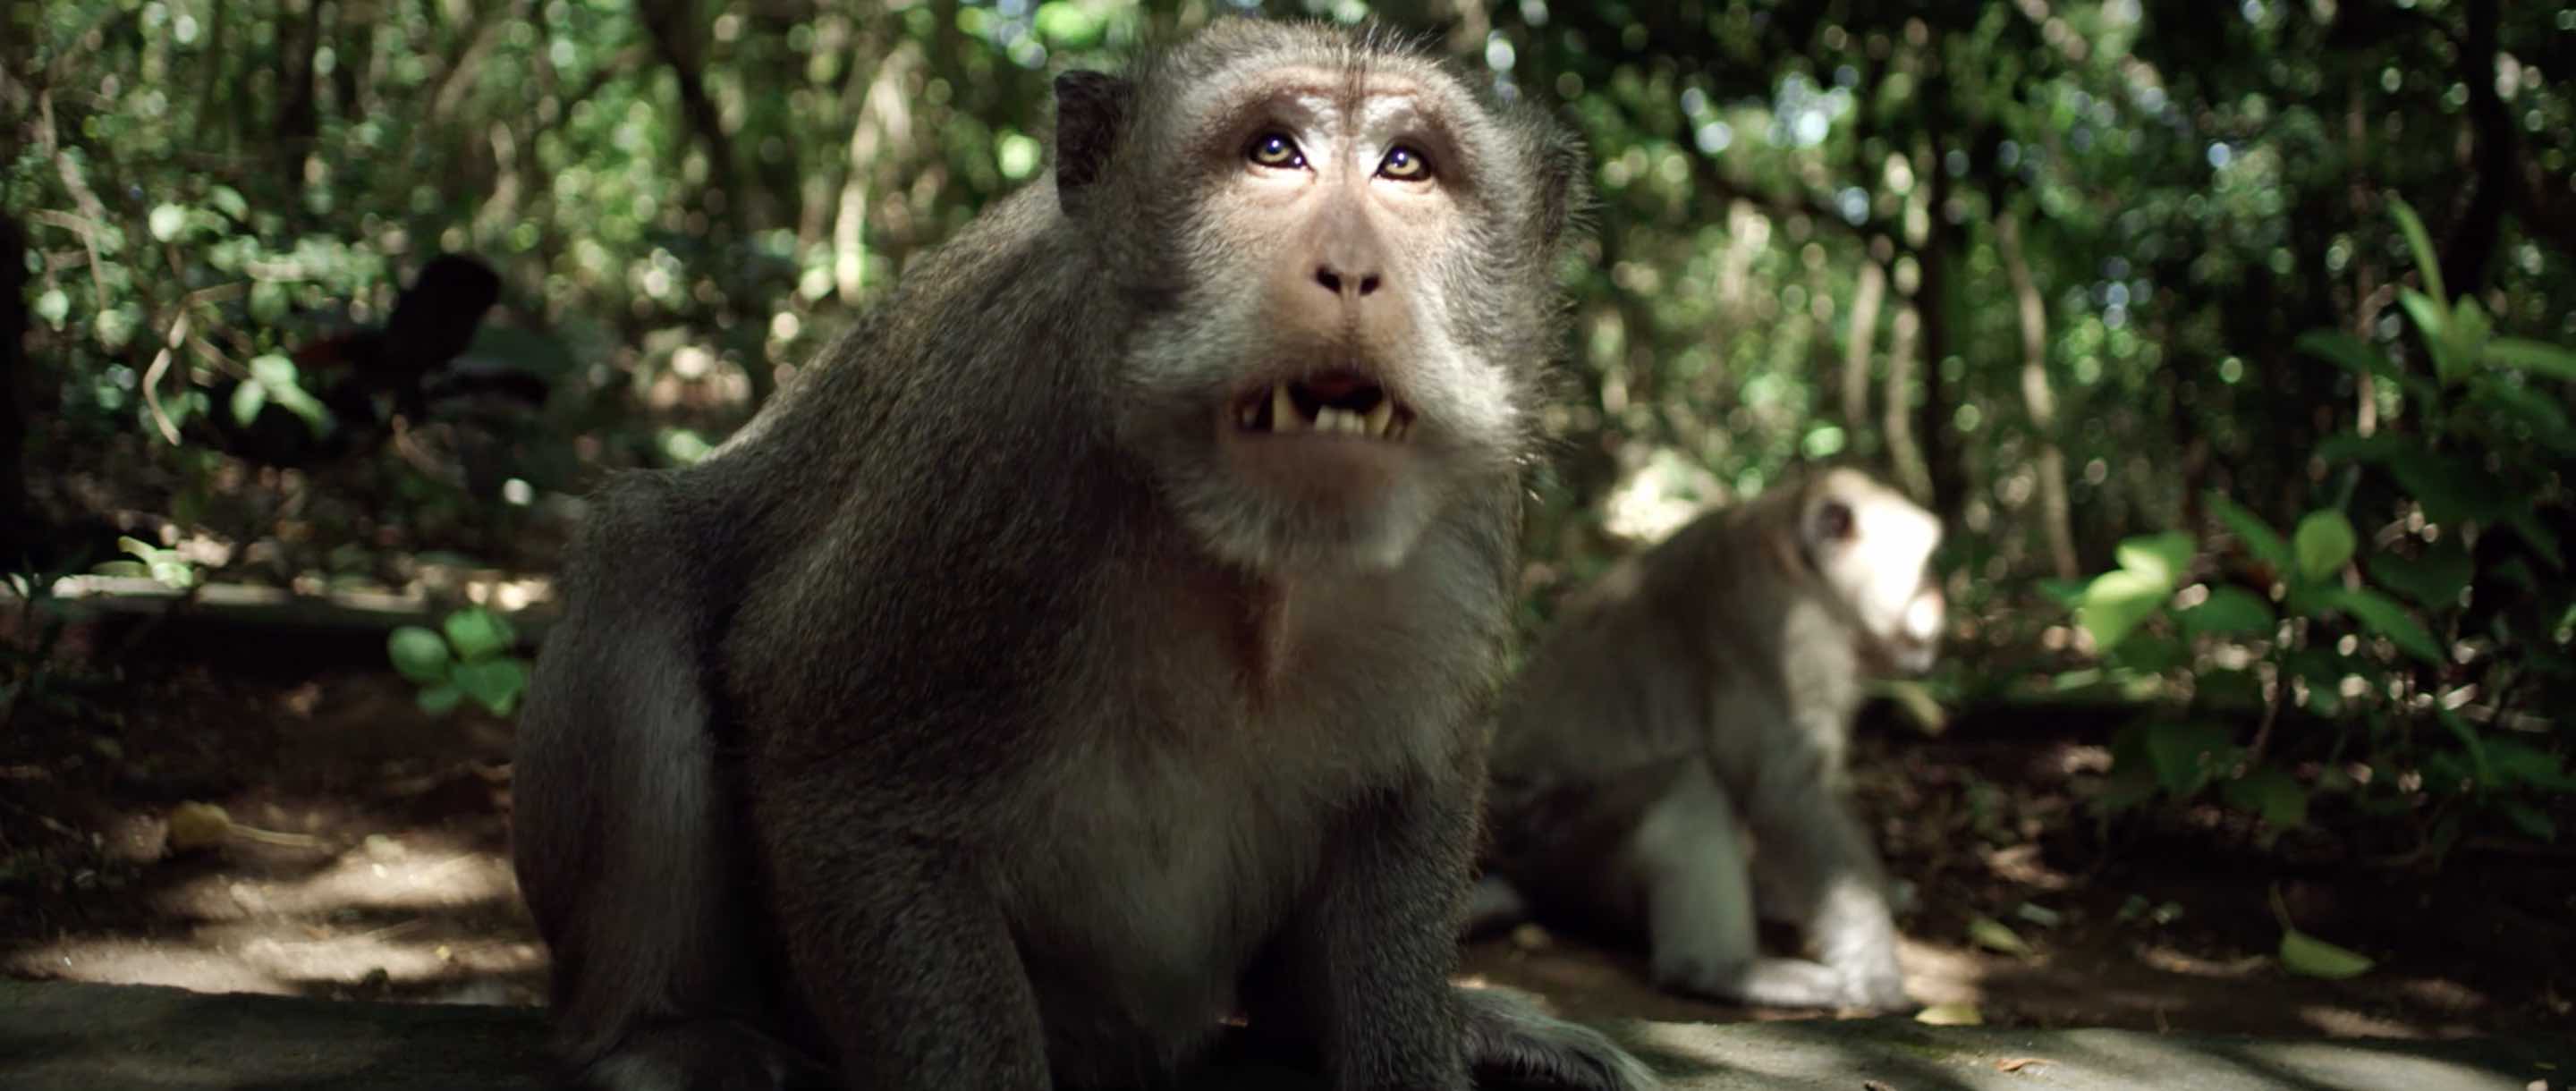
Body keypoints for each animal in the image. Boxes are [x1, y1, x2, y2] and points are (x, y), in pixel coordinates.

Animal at [513, 17, 1658, 1091]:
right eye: (1274, 151)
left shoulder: (1470, 513)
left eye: (1407, 166)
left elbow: (1404, 805)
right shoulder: (996, 444)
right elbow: (844, 788)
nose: (1350, 269)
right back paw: (654, 1029)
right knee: (638, 560)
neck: (1251, 552)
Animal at [1462, 465, 1936, 1008]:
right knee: (1685, 784)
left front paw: (1880, 890)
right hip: (1563, 847)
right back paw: (1722, 972)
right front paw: (1876, 970)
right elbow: (1786, 793)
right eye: (1924, 567)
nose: (1940, 597)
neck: (1797, 566)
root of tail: (1517, 873)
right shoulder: (1775, 627)